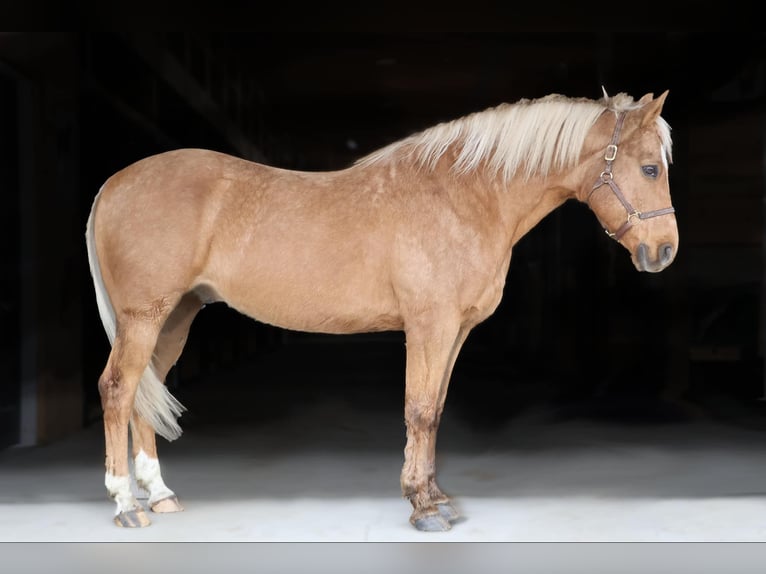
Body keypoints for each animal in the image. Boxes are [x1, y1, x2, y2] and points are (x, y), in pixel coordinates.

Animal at [87, 90, 680, 536]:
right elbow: (418, 410)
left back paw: (161, 494)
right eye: (650, 168)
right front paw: (422, 509)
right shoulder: (429, 326)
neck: (464, 196)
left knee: (145, 392)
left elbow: (435, 409)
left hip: (175, 318)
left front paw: (437, 498)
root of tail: (112, 185)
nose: (664, 251)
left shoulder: (455, 331)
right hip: (144, 317)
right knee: (118, 390)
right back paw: (126, 505)